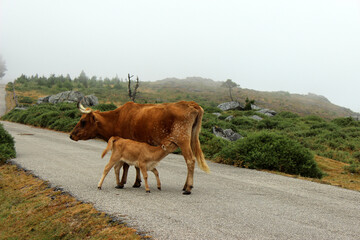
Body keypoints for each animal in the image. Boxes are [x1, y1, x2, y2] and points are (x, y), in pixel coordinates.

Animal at [69, 100, 208, 194]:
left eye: (83, 121)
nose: (71, 135)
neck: (117, 118)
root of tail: (191, 103)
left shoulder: (127, 142)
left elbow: (126, 165)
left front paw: (122, 183)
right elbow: (135, 165)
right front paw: (137, 182)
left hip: (183, 140)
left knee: (190, 161)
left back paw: (188, 188)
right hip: (190, 140)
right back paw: (185, 186)